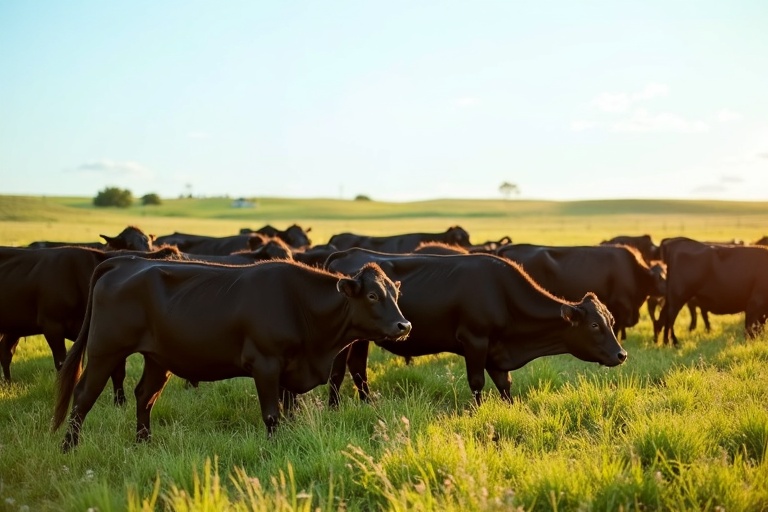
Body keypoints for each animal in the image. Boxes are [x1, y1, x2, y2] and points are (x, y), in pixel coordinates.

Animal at [0, 245, 181, 385]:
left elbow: (118, 372)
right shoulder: (52, 325)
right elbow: (63, 364)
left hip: (15, 327)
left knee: (6, 353)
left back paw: (8, 383)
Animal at [52, 258, 411, 451]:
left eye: (395, 294)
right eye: (372, 295)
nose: (404, 325)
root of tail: (127, 261)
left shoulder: (290, 370)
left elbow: (289, 412)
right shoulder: (265, 364)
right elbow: (272, 415)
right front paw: (274, 448)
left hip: (157, 358)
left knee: (145, 396)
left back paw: (144, 443)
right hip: (105, 351)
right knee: (83, 396)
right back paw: (69, 448)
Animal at [324, 249, 627, 407]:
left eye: (611, 322)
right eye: (594, 324)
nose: (621, 354)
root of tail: (349, 251)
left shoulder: (496, 351)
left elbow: (505, 385)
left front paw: (511, 410)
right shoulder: (475, 340)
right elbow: (477, 382)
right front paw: (478, 412)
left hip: (360, 340)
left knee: (358, 370)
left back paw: (367, 404)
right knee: (338, 372)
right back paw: (335, 408)